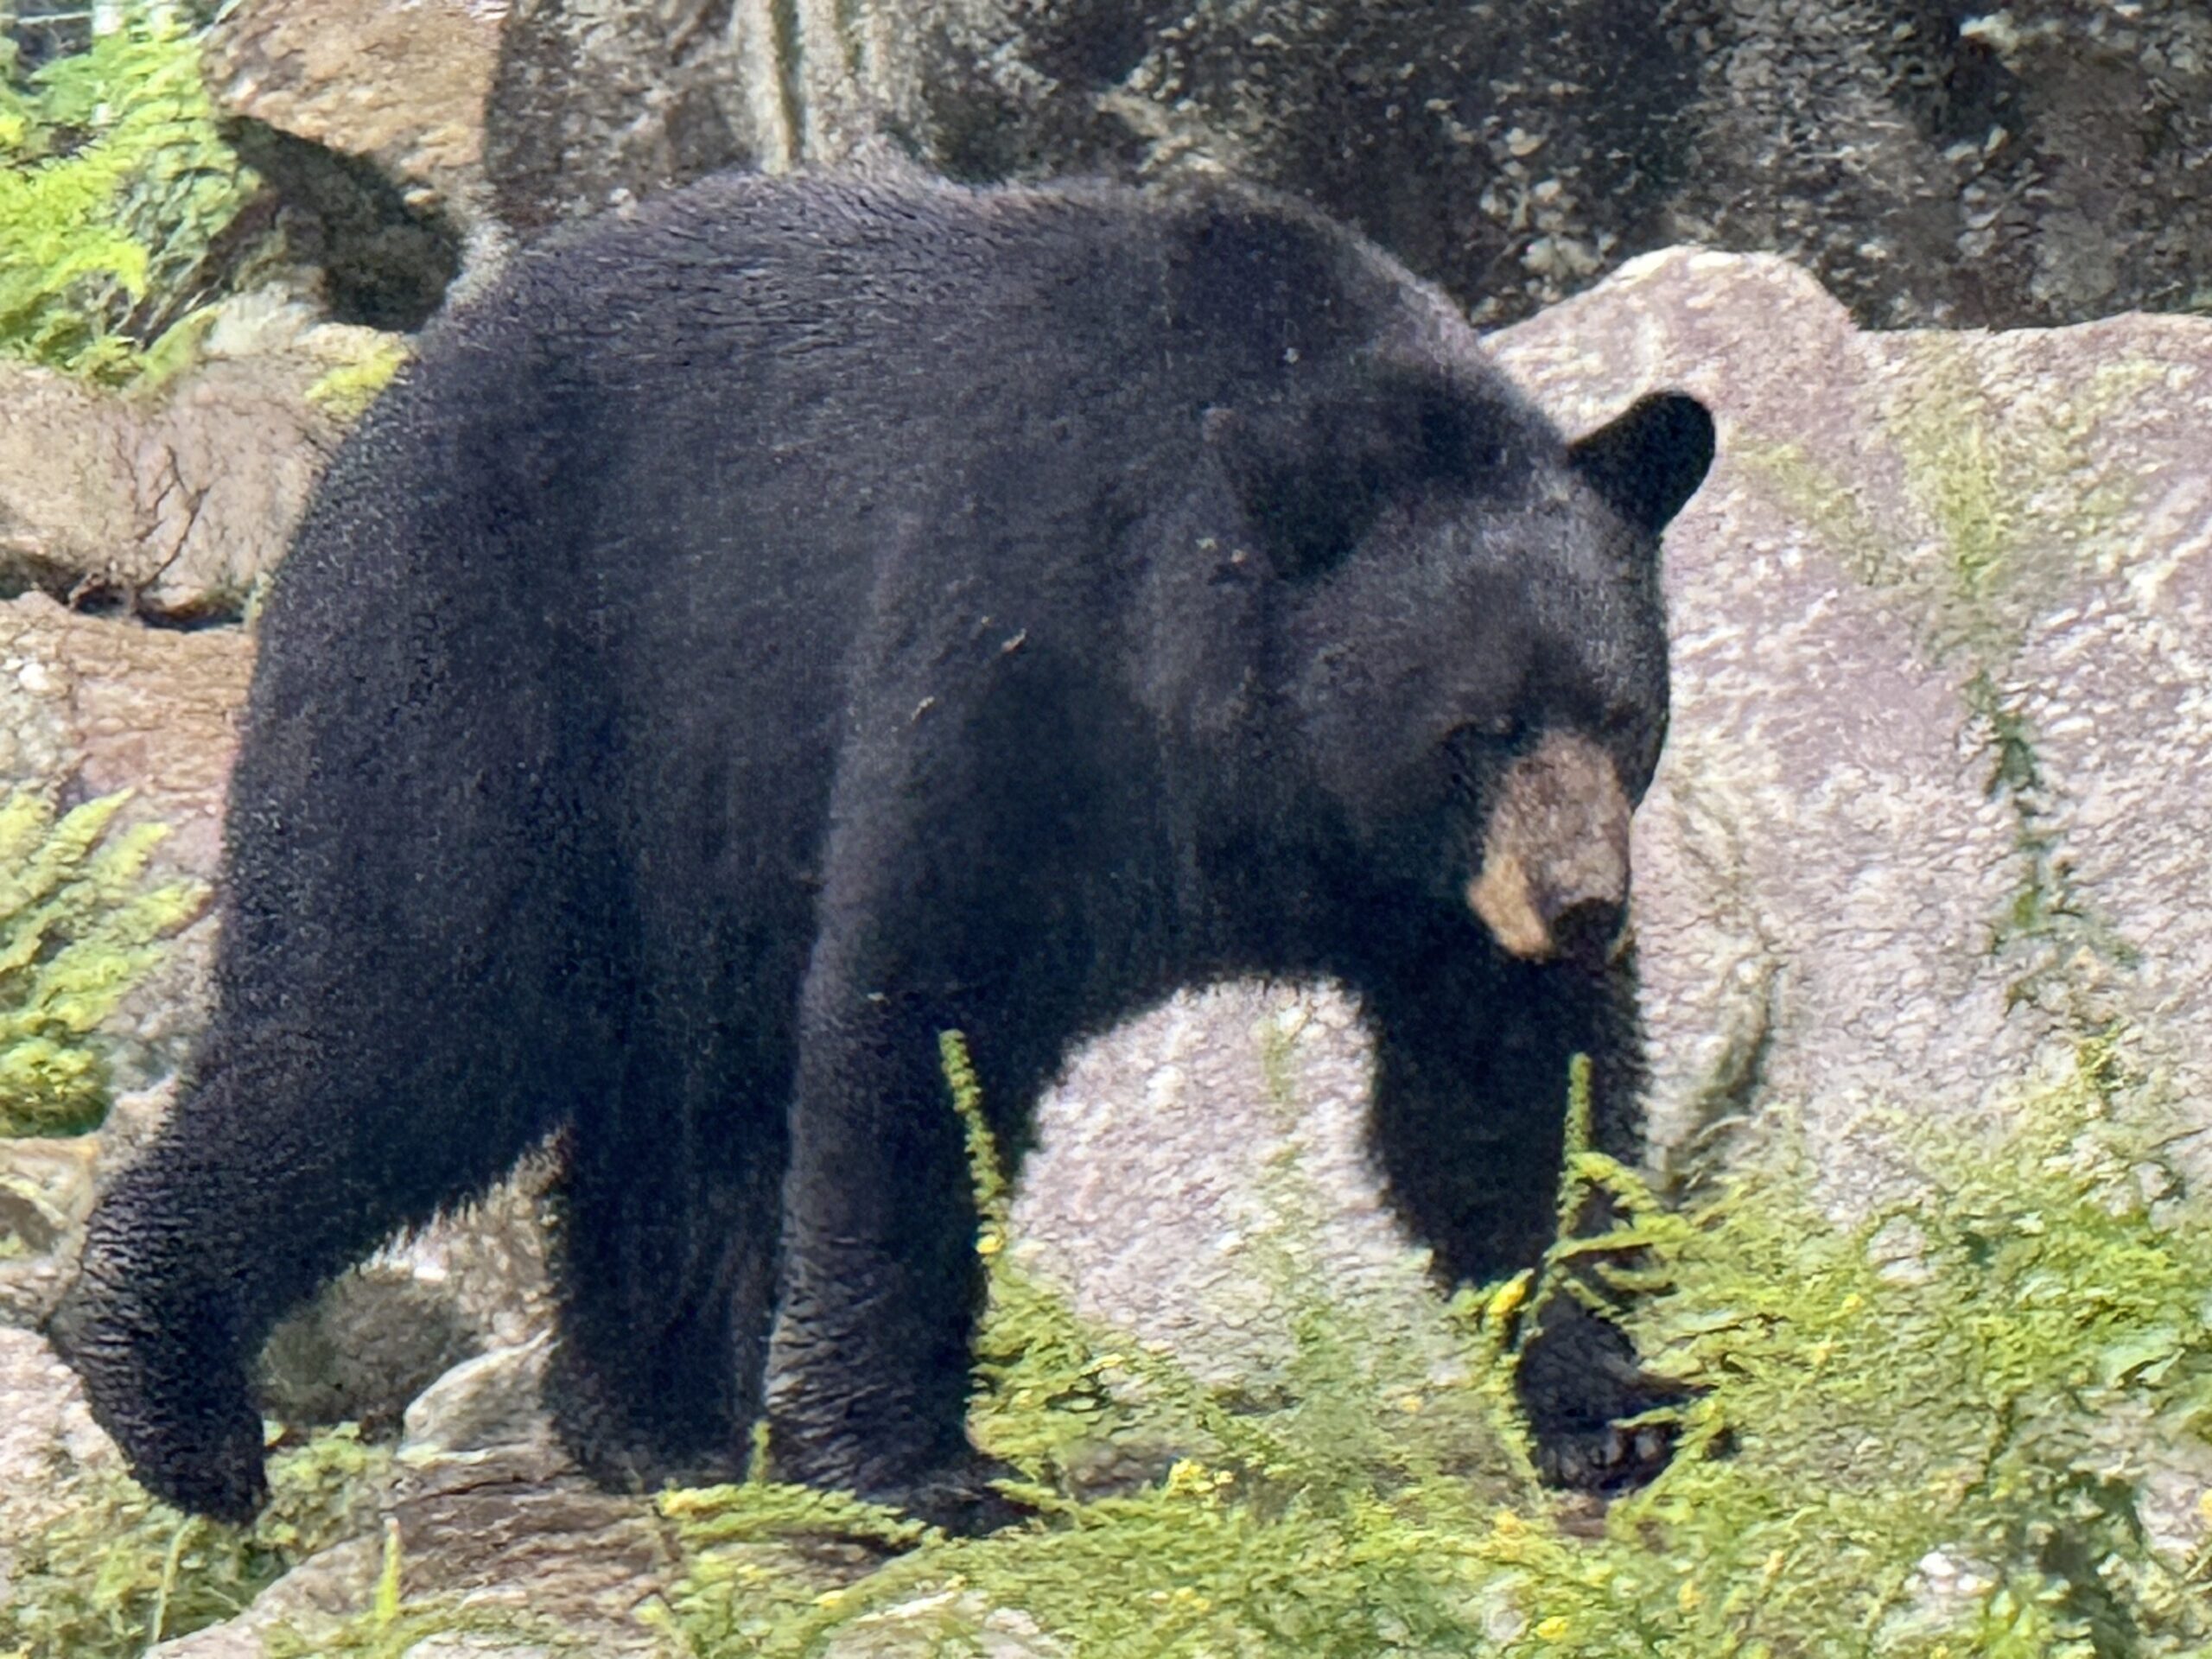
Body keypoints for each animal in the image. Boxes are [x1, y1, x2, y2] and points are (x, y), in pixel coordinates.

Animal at [50, 167, 1713, 1528]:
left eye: (1620, 714)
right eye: (1476, 727)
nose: (1582, 906)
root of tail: (371, 419)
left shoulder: (1427, 896)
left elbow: (1507, 1094)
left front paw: (1613, 1406)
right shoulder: (1017, 647)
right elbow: (923, 1017)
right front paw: (916, 1468)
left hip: (691, 829)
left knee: (680, 1106)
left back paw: (657, 1425)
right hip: (488, 676)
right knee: (406, 1016)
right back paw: (169, 1390)